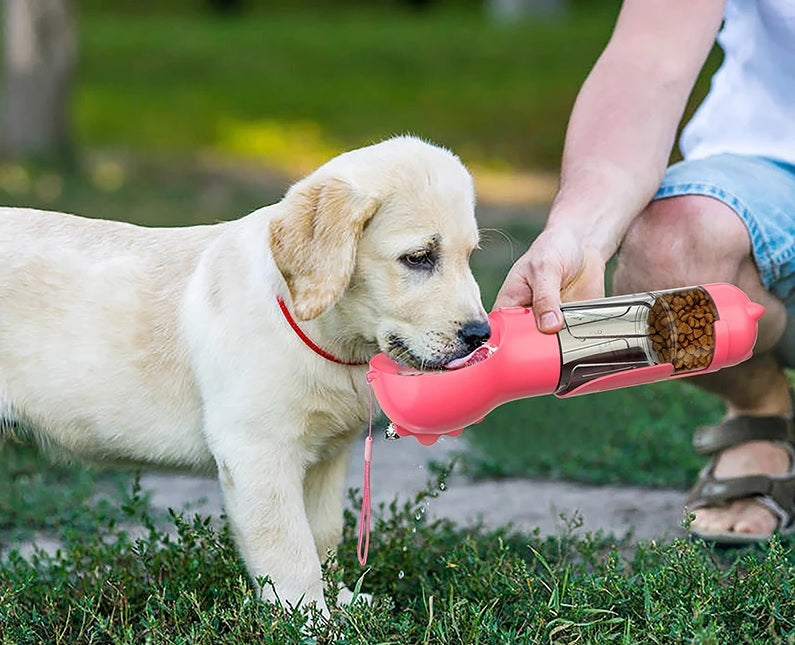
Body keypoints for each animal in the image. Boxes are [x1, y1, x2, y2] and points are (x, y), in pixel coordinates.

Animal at [0, 136, 492, 612]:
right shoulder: (258, 452)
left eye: (470, 255)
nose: (481, 335)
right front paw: (310, 619)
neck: (326, 336)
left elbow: (323, 535)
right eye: (419, 258)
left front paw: (342, 602)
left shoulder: (327, 458)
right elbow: (291, 550)